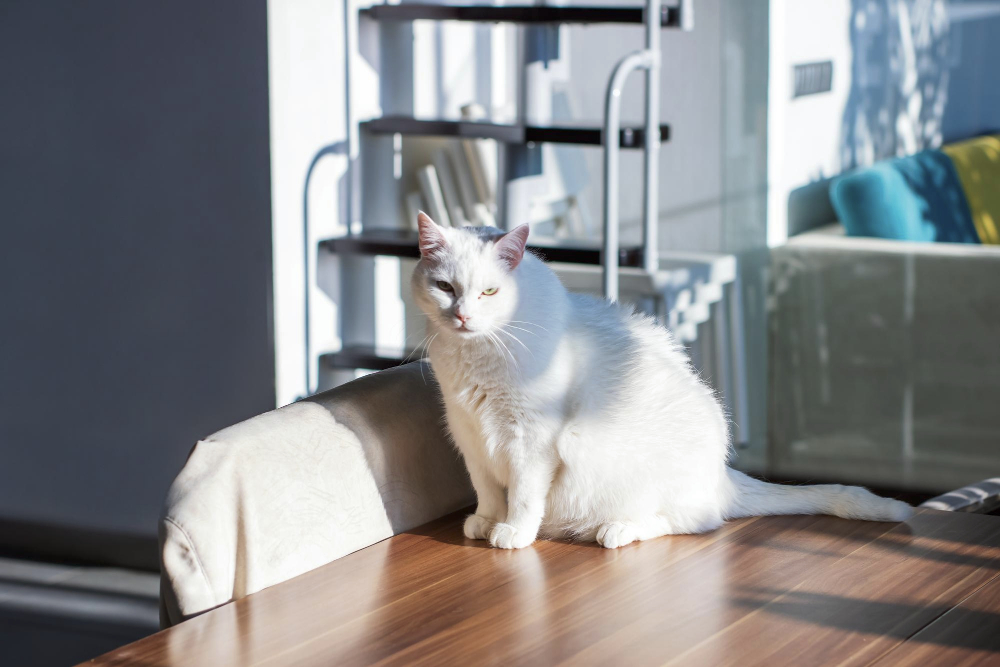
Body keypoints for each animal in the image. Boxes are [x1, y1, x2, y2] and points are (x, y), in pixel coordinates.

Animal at [408, 217, 916, 552]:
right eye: (445, 287)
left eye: (489, 291)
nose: (463, 316)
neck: (476, 357)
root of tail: (722, 473)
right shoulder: (470, 434)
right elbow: (487, 488)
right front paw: (485, 521)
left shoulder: (531, 440)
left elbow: (524, 494)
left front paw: (513, 531)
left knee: (694, 523)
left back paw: (617, 530)